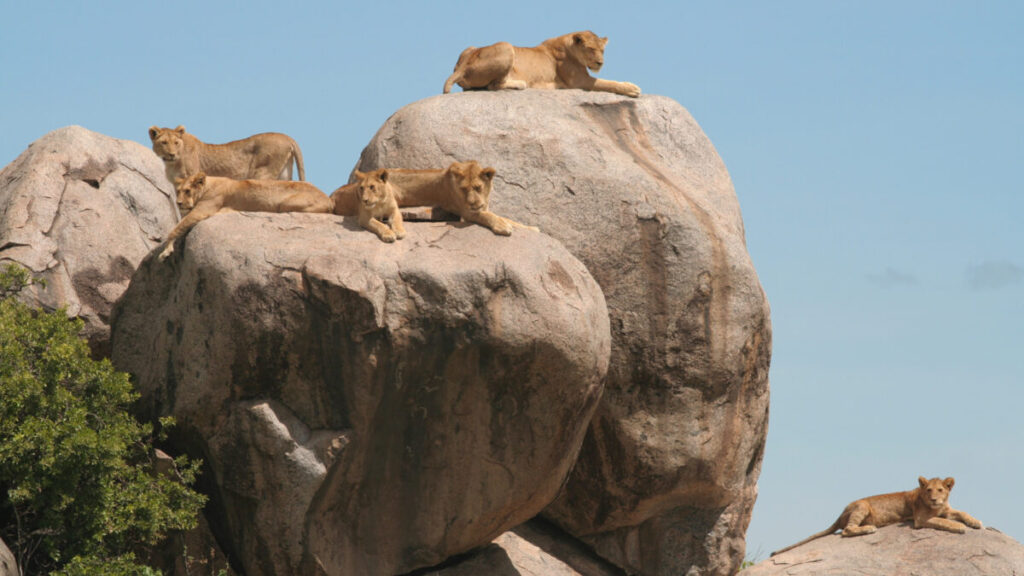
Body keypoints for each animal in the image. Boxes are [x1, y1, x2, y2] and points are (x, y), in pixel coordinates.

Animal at [148, 125, 305, 183]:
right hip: (283, 173)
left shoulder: (192, 176)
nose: (172, 154)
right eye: (164, 143)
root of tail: (288, 137)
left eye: (176, 143)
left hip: (262, 172)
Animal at [158, 170, 331, 260]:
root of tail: (328, 199)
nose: (179, 203)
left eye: (187, 191)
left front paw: (165, 251)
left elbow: (176, 228)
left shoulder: (203, 210)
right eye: (178, 191)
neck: (208, 185)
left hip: (285, 204)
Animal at [331, 158, 540, 237]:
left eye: (478, 187)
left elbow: (508, 218)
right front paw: (503, 227)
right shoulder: (467, 213)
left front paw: (531, 228)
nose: (472, 202)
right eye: (464, 189)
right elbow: (489, 217)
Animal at [442, 30, 638, 97]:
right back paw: (520, 84)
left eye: (602, 50)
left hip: (469, 48)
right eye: (590, 49)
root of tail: (461, 67)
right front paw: (632, 88)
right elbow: (607, 83)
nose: (600, 62)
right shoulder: (579, 81)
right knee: (493, 85)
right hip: (506, 46)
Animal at [770, 473, 983, 553]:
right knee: (847, 530)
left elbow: (963, 512)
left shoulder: (947, 510)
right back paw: (868, 529)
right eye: (929, 490)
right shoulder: (921, 519)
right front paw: (959, 527)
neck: (938, 507)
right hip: (862, 506)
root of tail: (841, 513)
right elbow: (944, 522)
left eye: (940, 490)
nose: (933, 499)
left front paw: (976, 523)